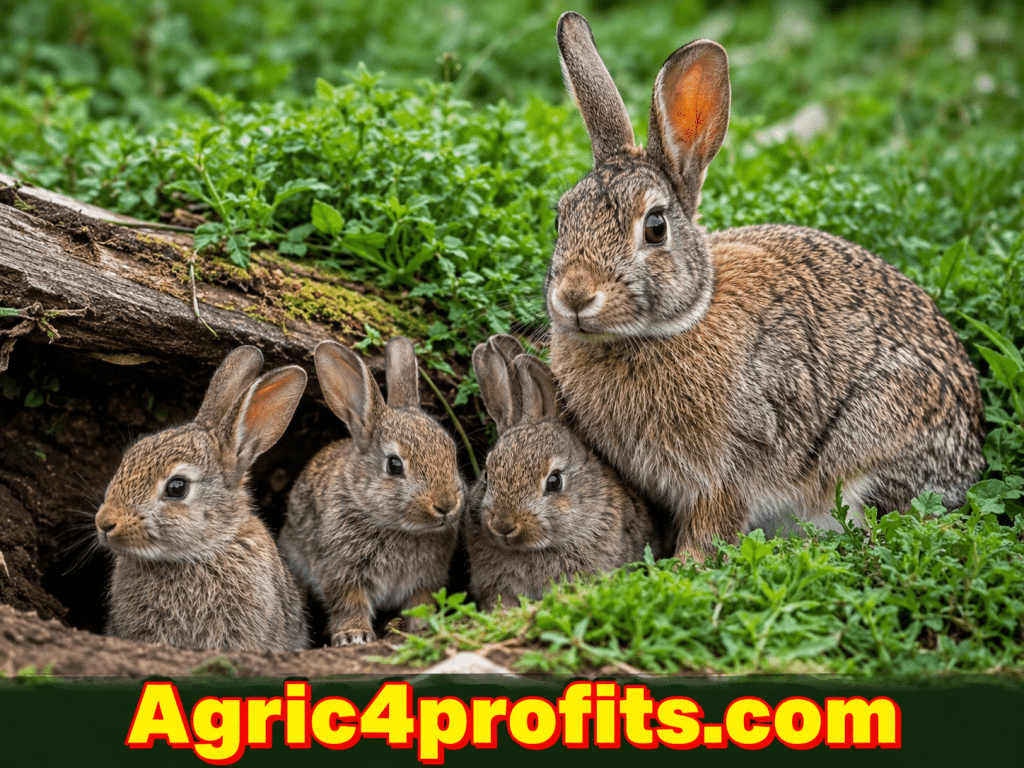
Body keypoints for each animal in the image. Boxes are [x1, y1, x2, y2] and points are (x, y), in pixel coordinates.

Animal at [277, 337, 465, 646]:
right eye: (394, 465)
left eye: (452, 453)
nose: (446, 505)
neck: (395, 527)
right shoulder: (341, 573)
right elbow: (349, 602)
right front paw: (354, 635)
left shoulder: (426, 579)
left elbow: (421, 603)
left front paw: (423, 627)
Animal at [545, 12, 986, 561]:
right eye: (560, 219)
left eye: (655, 227)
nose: (575, 296)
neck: (672, 325)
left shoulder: (731, 467)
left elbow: (712, 527)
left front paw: (683, 567)